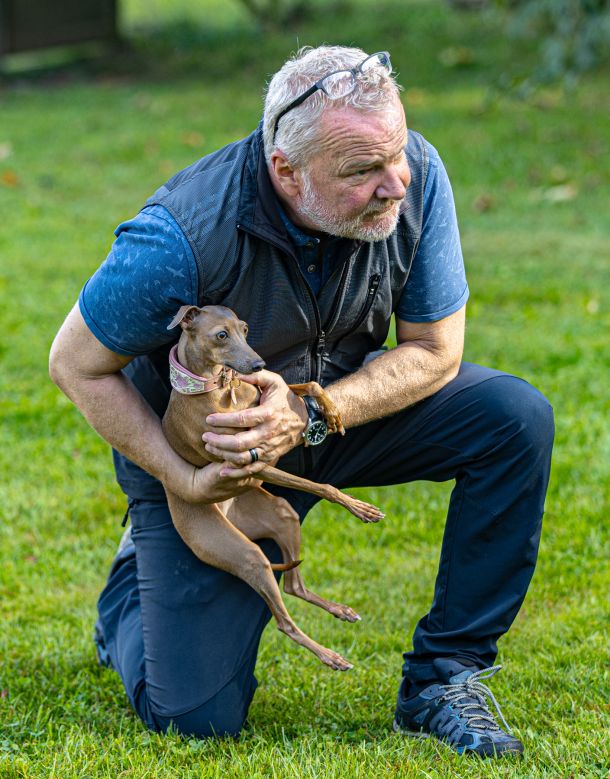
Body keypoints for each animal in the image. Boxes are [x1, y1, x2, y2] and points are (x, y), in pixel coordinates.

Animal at [161, 304, 384, 670]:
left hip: (281, 514)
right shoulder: (252, 460)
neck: (222, 389)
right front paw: (357, 507)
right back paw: (330, 656)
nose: (258, 364)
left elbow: (310, 383)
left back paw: (340, 611)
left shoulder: (270, 398)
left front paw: (332, 414)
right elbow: (321, 485)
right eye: (221, 335)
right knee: (284, 622)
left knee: (294, 586)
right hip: (246, 555)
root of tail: (228, 512)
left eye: (245, 328)